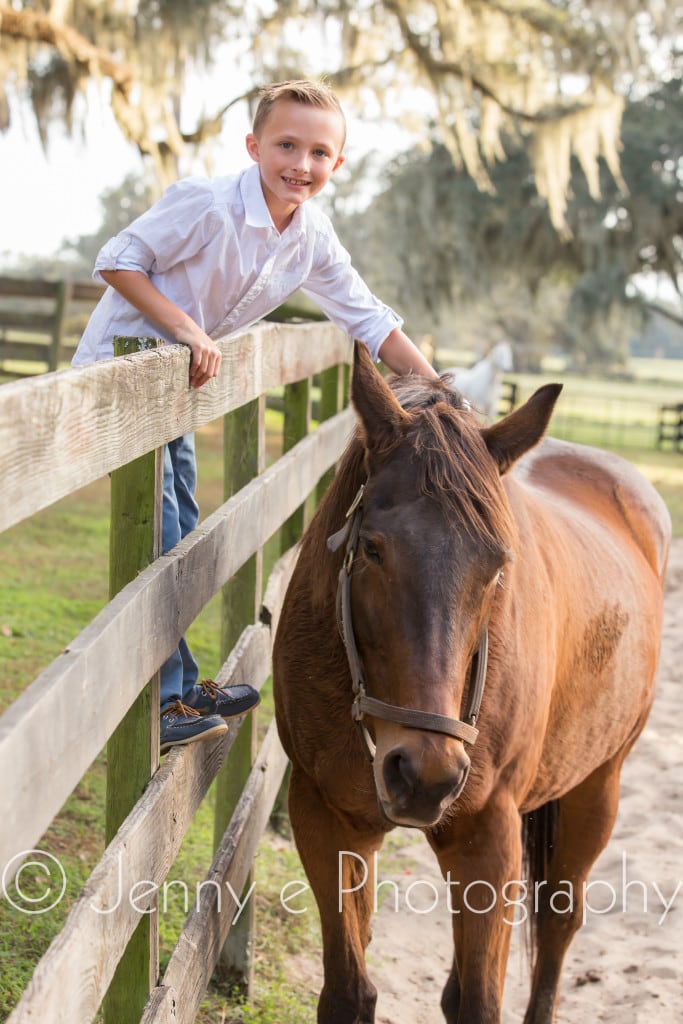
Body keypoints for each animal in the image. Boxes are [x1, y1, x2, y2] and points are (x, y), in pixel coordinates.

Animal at [272, 346, 671, 1024]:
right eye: (372, 548)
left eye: (497, 567)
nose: (425, 773)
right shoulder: (326, 817)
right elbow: (350, 991)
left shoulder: (490, 834)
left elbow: (482, 1001)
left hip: (598, 787)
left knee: (558, 925)